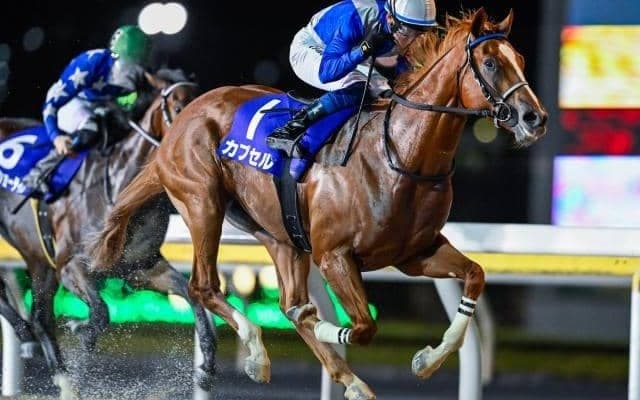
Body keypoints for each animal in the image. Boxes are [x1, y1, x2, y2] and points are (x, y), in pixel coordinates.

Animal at [0, 68, 218, 398]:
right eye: (179, 107)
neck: (119, 189)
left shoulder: (140, 267)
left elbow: (193, 298)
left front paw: (206, 367)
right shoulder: (71, 265)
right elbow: (101, 312)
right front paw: (81, 330)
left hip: (39, 259)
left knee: (41, 319)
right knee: (33, 315)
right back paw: (31, 341)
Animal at [92, 9, 547, 399]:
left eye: (521, 59)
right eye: (490, 63)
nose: (534, 118)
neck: (400, 153)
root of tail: (183, 118)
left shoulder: (416, 253)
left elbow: (474, 275)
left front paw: (428, 360)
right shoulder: (334, 256)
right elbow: (361, 327)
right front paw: (333, 330)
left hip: (277, 232)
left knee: (289, 302)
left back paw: (333, 374)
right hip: (203, 203)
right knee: (204, 286)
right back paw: (259, 351)